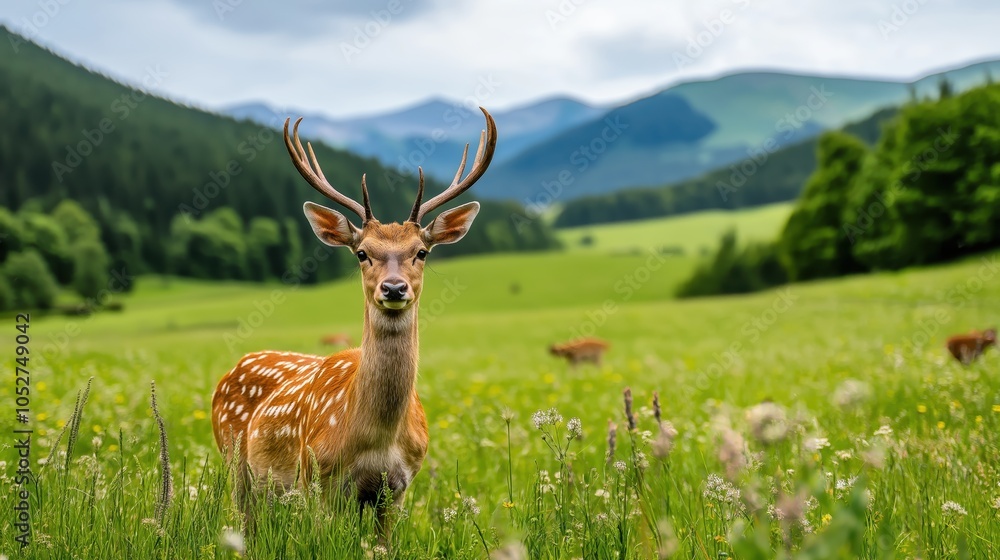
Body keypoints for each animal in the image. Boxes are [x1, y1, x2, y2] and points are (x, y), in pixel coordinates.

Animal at [211, 107, 497, 543]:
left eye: (422, 252)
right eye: (362, 252)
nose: (393, 288)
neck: (376, 438)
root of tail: (232, 370)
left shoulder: (397, 488)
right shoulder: (318, 477)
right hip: (233, 460)